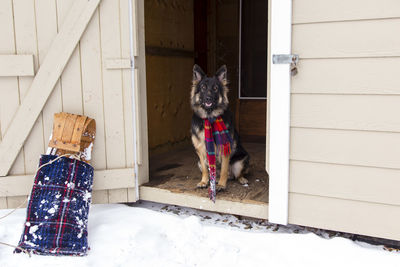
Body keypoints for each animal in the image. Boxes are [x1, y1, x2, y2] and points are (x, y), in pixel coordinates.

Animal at [190, 63, 248, 192]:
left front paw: (221, 184)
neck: (210, 117)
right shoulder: (200, 150)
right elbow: (206, 170)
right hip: (198, 163)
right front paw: (204, 182)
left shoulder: (225, 149)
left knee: (238, 174)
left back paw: (241, 179)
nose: (208, 98)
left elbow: (224, 170)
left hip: (241, 160)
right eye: (203, 87)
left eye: (215, 88)